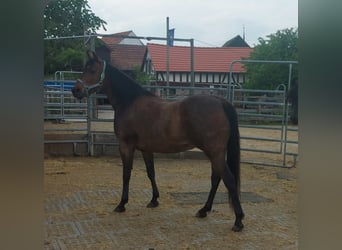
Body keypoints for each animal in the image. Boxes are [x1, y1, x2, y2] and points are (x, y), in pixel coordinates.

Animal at [72, 51, 244, 232]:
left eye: (91, 70)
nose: (75, 90)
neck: (130, 102)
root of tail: (221, 102)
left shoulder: (126, 146)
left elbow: (126, 174)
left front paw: (122, 204)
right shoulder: (146, 149)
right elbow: (151, 172)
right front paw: (154, 200)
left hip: (214, 152)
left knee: (229, 180)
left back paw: (238, 220)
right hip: (215, 153)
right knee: (216, 178)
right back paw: (204, 210)